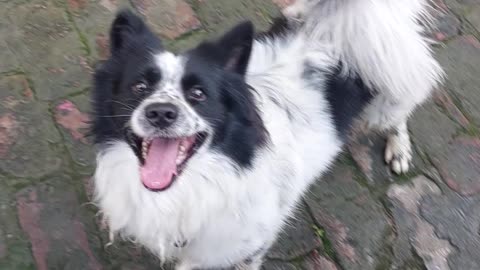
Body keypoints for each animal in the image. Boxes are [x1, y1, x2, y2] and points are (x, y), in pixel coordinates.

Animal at [91, 1, 442, 268]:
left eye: (199, 94)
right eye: (138, 87)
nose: (161, 113)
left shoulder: (247, 245)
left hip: (389, 95)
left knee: (402, 111)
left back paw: (399, 149)